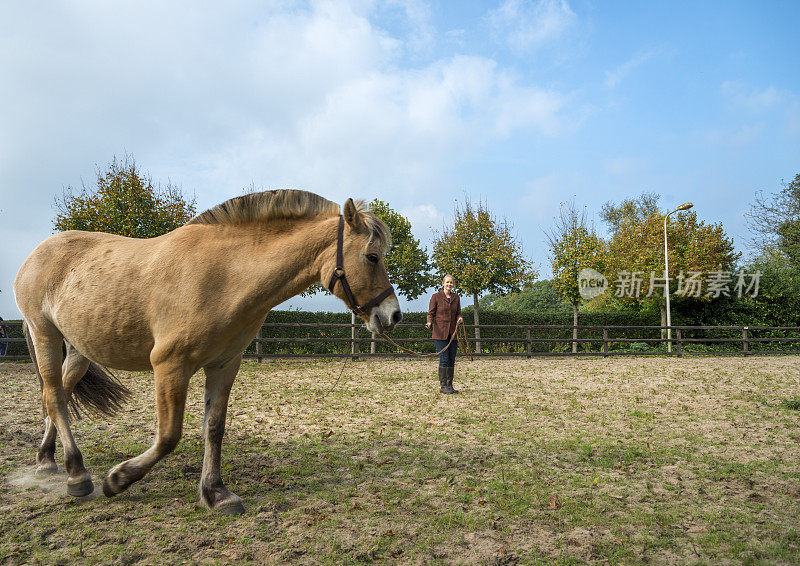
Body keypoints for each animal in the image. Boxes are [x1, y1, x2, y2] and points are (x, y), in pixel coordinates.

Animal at [12, 191, 400, 516]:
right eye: (371, 257)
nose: (393, 315)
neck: (224, 274)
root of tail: (35, 254)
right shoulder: (170, 366)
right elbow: (169, 435)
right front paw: (118, 479)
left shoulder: (224, 365)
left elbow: (214, 428)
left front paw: (216, 492)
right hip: (45, 335)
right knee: (55, 397)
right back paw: (78, 475)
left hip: (78, 350)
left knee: (57, 396)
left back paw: (48, 460)